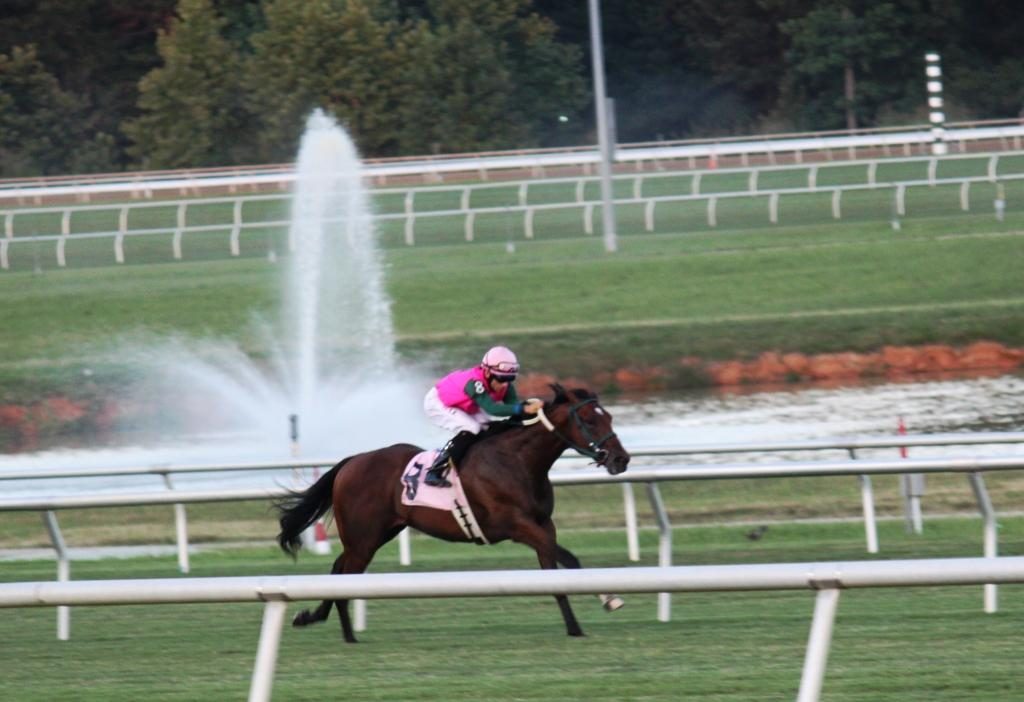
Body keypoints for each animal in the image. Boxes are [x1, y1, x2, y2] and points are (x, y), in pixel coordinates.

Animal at [280, 384, 630, 642]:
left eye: (611, 417)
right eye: (590, 420)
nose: (621, 459)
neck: (518, 460)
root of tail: (351, 462)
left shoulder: (544, 524)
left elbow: (558, 571)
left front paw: (581, 622)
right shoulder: (518, 526)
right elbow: (566, 563)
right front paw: (603, 604)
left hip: (375, 535)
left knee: (339, 568)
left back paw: (317, 618)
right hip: (363, 538)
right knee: (345, 573)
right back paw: (346, 633)